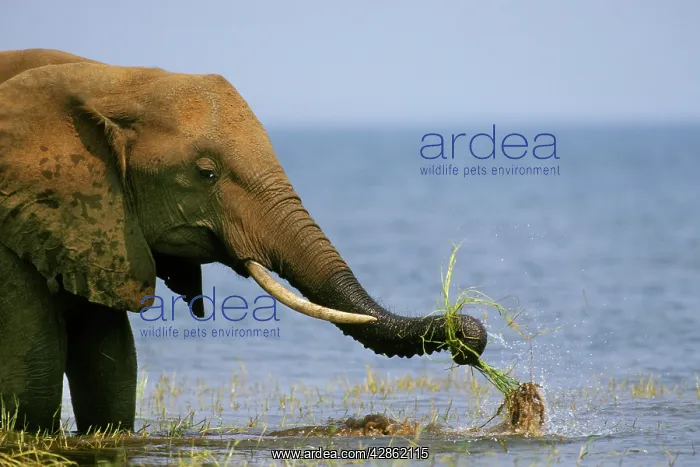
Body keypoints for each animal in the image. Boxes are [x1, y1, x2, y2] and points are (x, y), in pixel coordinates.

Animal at [0, 49, 488, 434]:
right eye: (206, 173)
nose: (467, 339)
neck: (110, 80)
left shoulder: (92, 226)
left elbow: (110, 364)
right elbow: (36, 371)